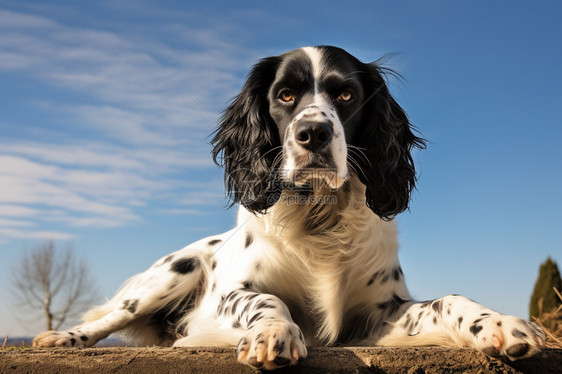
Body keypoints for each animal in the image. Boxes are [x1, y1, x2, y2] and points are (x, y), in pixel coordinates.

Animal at [31, 45, 544, 370]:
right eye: (285, 95)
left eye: (345, 95)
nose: (313, 133)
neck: (319, 217)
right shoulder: (232, 295)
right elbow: (266, 299)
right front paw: (273, 333)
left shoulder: (377, 315)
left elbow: (447, 301)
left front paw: (499, 324)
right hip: (175, 271)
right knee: (112, 315)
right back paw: (62, 338)